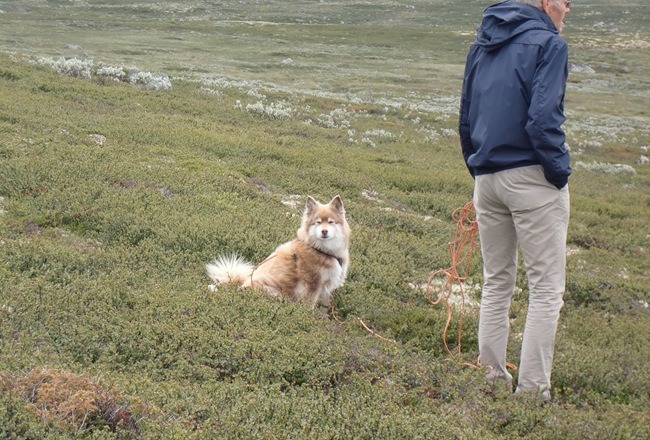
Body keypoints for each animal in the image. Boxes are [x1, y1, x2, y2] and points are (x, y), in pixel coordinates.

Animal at [206, 194, 350, 308]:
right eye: (318, 222)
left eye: (331, 222)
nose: (324, 231)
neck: (322, 250)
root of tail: (240, 286)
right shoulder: (313, 284)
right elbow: (309, 306)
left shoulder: (326, 288)